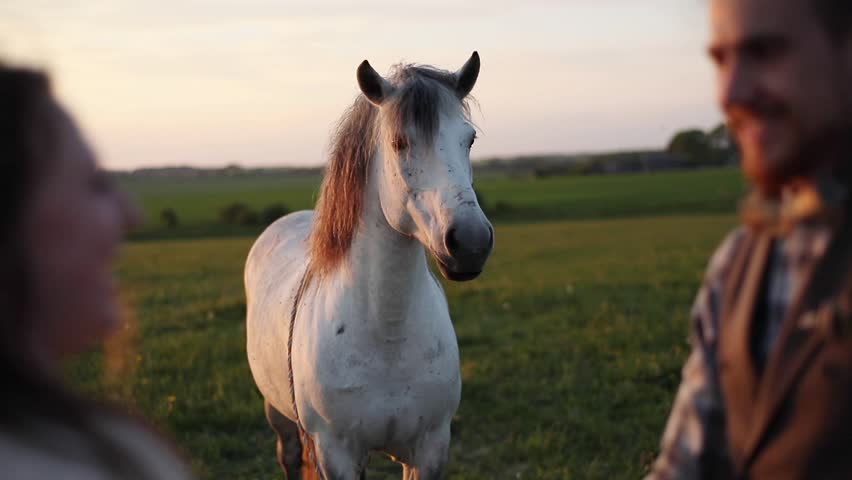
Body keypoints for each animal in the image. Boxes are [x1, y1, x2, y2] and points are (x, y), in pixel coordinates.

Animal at [245, 52, 492, 480]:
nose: (472, 242)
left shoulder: (429, 450)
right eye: (399, 142)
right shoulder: (336, 454)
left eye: (469, 139)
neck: (387, 333)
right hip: (278, 414)